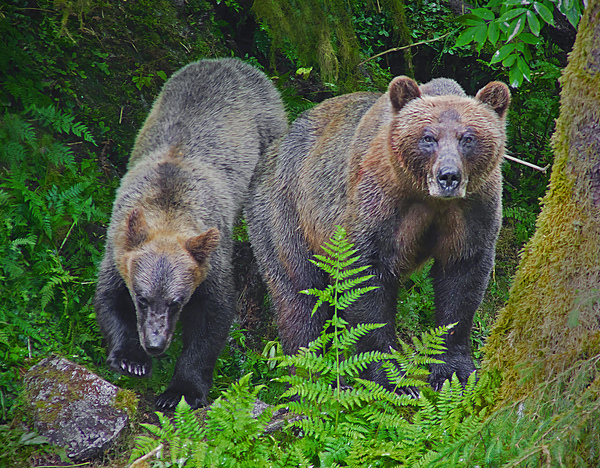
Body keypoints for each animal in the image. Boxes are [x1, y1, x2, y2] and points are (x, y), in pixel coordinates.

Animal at [95, 57, 288, 410]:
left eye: (177, 301)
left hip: (267, 131)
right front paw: (131, 359)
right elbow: (109, 298)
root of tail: (233, 62)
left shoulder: (211, 259)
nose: (155, 344)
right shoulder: (120, 244)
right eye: (142, 298)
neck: (167, 213)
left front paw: (180, 390)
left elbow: (211, 318)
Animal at [246, 76, 508, 392]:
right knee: (299, 297)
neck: (429, 200)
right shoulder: (379, 204)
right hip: (285, 214)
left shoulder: (473, 210)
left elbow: (463, 279)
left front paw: (453, 370)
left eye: (468, 138)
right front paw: (393, 378)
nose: (448, 176)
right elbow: (366, 281)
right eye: (428, 137)